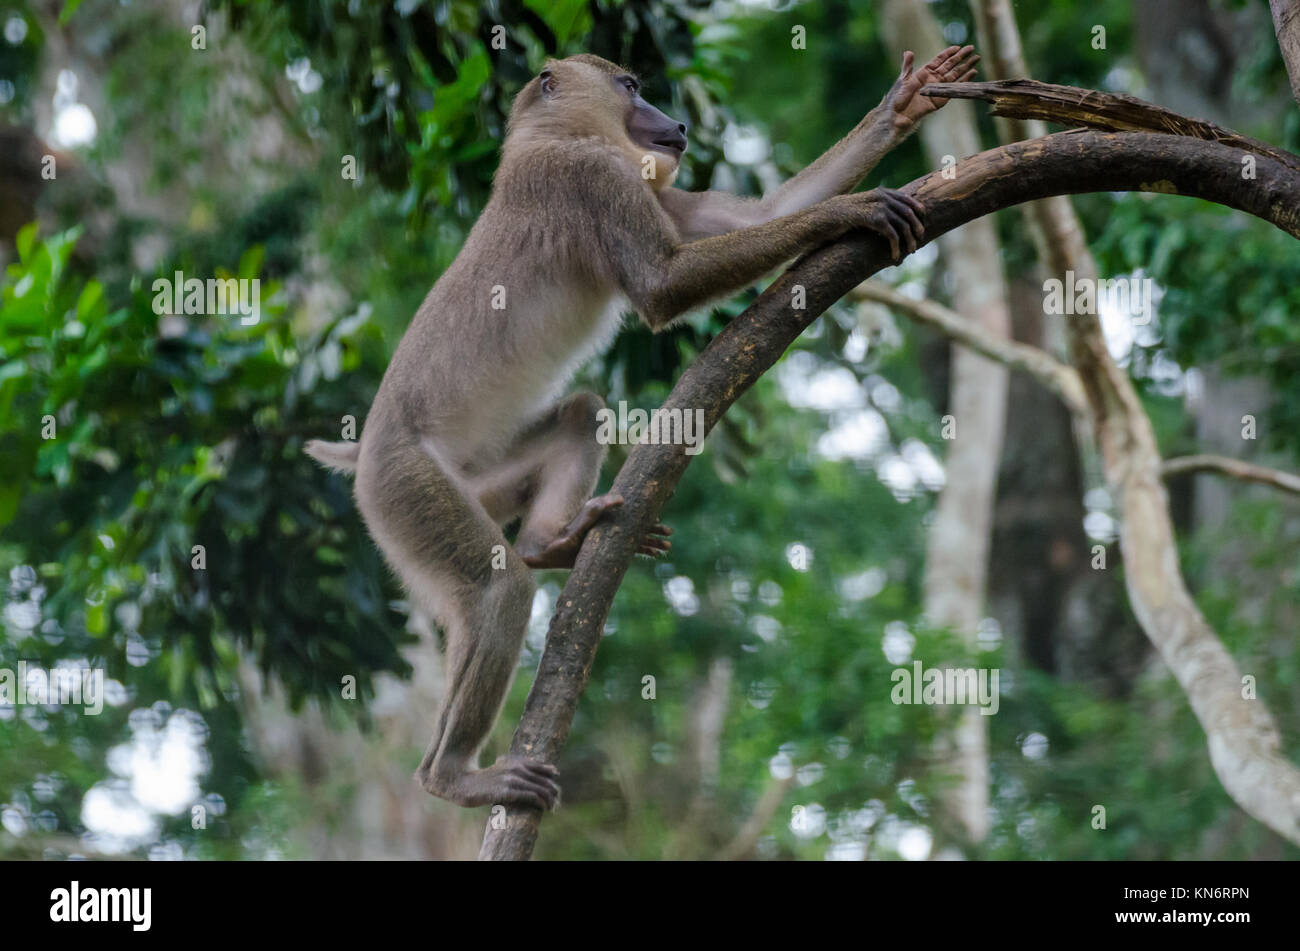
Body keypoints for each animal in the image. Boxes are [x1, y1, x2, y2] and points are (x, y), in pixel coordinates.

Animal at [305, 46, 978, 812]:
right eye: (630, 85)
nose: (676, 122)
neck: (554, 135)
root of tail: (366, 453)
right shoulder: (592, 177)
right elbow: (662, 284)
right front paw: (850, 208)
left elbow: (754, 214)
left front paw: (904, 104)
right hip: (405, 491)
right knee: (498, 588)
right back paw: (452, 774)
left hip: (479, 479)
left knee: (578, 414)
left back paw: (549, 542)